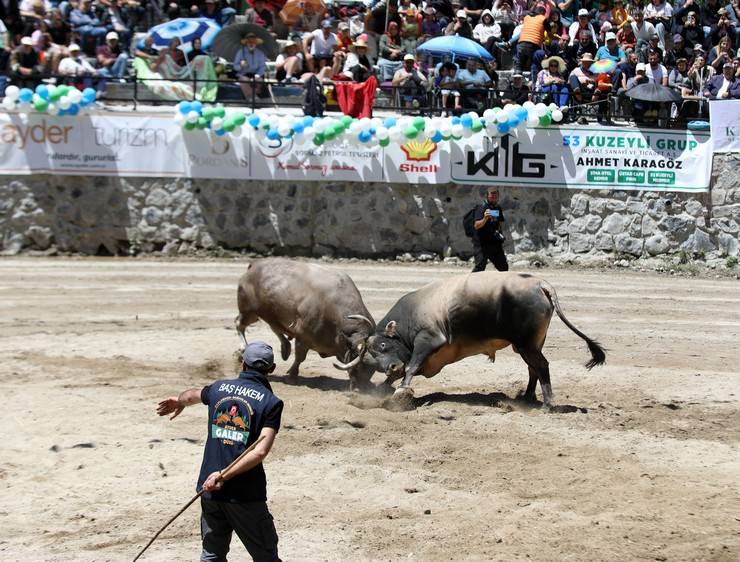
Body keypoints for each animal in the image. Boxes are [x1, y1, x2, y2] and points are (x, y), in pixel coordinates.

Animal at [237, 258, 376, 390]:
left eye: (372, 369)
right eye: (360, 366)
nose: (361, 388)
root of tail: (254, 265)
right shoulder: (303, 338)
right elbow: (300, 357)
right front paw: (292, 377)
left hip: (262, 314)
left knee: (274, 327)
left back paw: (285, 348)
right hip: (250, 311)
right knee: (239, 324)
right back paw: (244, 349)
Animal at [332, 270, 604, 404]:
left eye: (383, 344)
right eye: (372, 360)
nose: (390, 367)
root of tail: (540, 285)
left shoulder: (429, 340)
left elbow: (411, 366)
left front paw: (402, 391)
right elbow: (405, 371)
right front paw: (385, 388)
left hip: (526, 344)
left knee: (541, 366)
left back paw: (548, 402)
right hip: (529, 344)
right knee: (533, 368)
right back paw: (528, 398)